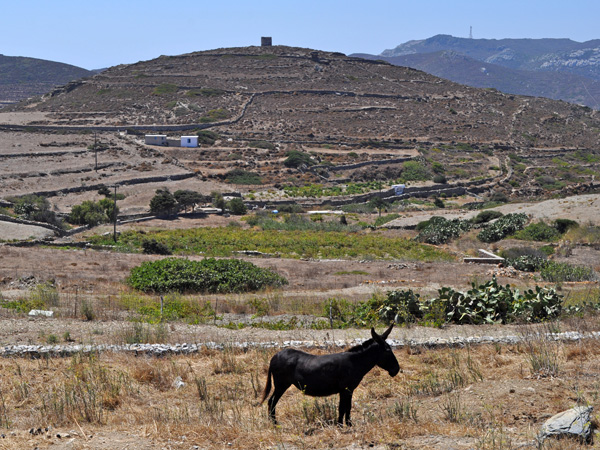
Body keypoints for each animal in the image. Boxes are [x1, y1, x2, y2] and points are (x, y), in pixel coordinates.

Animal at [260, 323, 400, 426]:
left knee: (271, 401)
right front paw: (342, 426)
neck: (355, 362)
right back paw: (275, 424)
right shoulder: (345, 389)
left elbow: (346, 407)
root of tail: (274, 356)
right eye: (388, 350)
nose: (397, 369)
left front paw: (346, 425)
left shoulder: (348, 390)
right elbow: (343, 408)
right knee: (272, 401)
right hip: (281, 384)